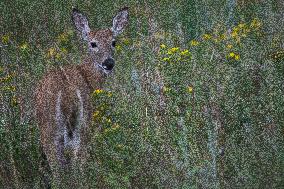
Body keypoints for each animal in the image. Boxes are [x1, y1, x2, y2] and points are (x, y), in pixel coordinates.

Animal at [34, 6, 129, 179]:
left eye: (113, 42)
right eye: (93, 43)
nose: (109, 63)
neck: (88, 78)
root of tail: (66, 93)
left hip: (53, 128)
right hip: (81, 124)